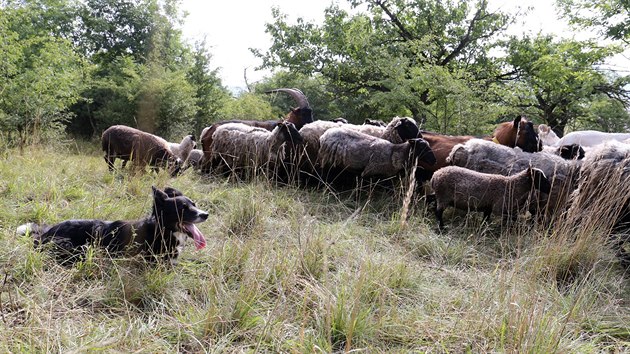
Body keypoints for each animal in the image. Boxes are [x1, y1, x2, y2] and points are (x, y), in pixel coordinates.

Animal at [16, 187, 210, 264]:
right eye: (182, 209)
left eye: (194, 204)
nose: (205, 214)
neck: (161, 229)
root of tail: (45, 233)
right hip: (75, 247)